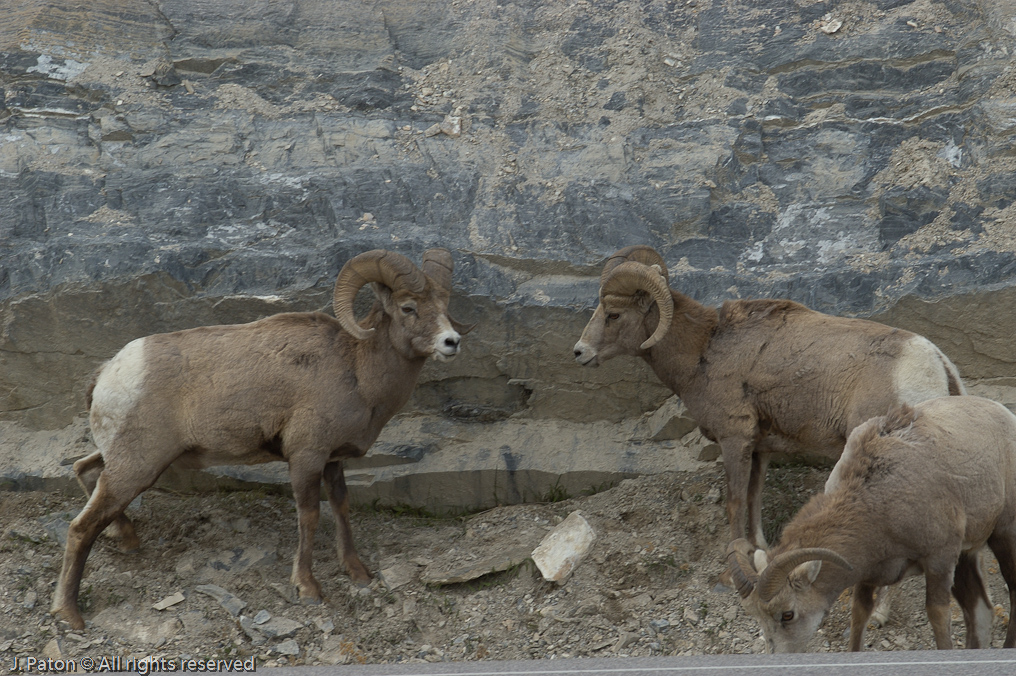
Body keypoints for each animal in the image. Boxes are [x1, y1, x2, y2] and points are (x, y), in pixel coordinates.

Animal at [52, 249, 471, 634]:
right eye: (408, 307)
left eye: (443, 306)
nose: (451, 342)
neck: (356, 368)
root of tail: (109, 372)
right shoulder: (305, 458)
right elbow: (309, 515)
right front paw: (308, 588)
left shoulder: (333, 460)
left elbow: (341, 508)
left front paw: (358, 573)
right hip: (137, 467)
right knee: (80, 527)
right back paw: (70, 615)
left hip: (126, 460)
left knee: (85, 470)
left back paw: (128, 540)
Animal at [577, 242, 963, 548]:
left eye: (613, 314)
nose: (579, 353)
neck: (703, 350)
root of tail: (933, 361)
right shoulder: (760, 448)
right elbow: (753, 503)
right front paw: (760, 549)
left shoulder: (734, 439)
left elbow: (734, 503)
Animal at [731, 398, 1016, 650]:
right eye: (755, 615)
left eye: (787, 614)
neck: (881, 496)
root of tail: (1005, 414)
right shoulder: (869, 573)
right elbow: (859, 614)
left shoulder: (940, 560)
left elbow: (937, 617)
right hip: (968, 555)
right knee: (980, 612)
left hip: (1003, 537)